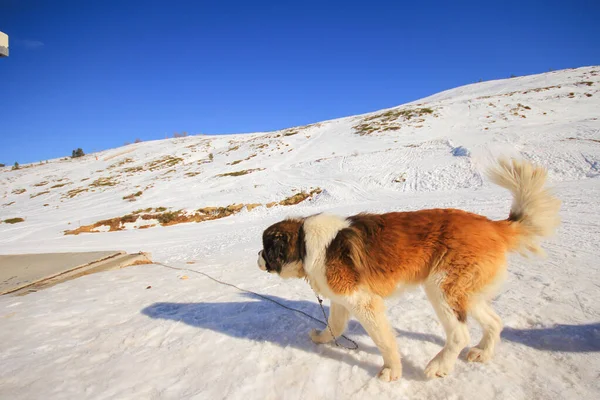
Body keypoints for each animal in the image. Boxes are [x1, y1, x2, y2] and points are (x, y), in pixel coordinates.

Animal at [255, 159, 560, 382]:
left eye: (265, 247)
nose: (257, 256)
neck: (304, 243)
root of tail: (491, 224)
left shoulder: (363, 302)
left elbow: (384, 340)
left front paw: (392, 371)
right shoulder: (341, 300)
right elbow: (335, 326)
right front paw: (320, 338)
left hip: (441, 287)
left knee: (459, 334)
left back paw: (439, 365)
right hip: (466, 293)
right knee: (495, 322)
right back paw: (482, 353)